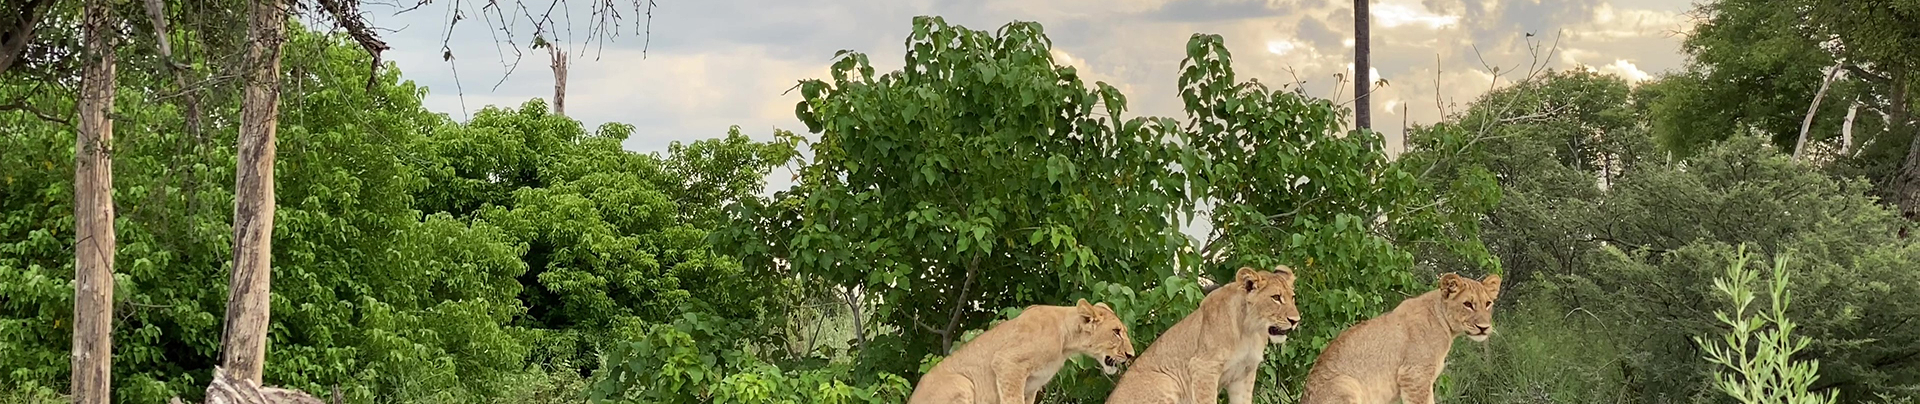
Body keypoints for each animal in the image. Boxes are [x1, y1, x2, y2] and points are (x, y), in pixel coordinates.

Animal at [908, 299, 1138, 404]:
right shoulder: (1007, 363)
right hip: (961, 382)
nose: (1131, 355)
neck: (1066, 342)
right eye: (1116, 332)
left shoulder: (1030, 387)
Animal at [1105, 266, 1301, 404]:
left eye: (1292, 297)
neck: (1250, 331)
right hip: (1167, 381)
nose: (1295, 320)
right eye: (1276, 298)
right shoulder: (1203, 367)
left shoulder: (1244, 374)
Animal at [1299, 272, 1501, 404]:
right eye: (1468, 304)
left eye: (1488, 304)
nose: (1484, 328)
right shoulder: (1414, 376)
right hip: (1346, 384)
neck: (1444, 323)